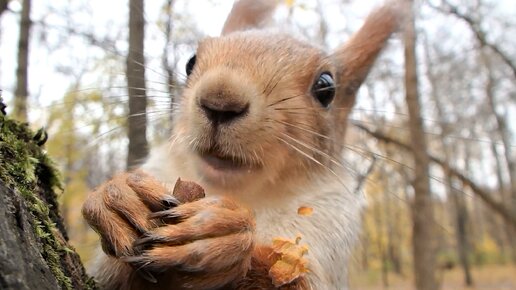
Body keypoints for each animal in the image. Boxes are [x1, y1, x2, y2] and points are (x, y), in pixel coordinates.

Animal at [81, 1, 404, 288]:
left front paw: (224, 236)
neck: (240, 194)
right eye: (190, 62)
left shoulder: (331, 227)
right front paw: (117, 197)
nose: (221, 99)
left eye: (326, 88)